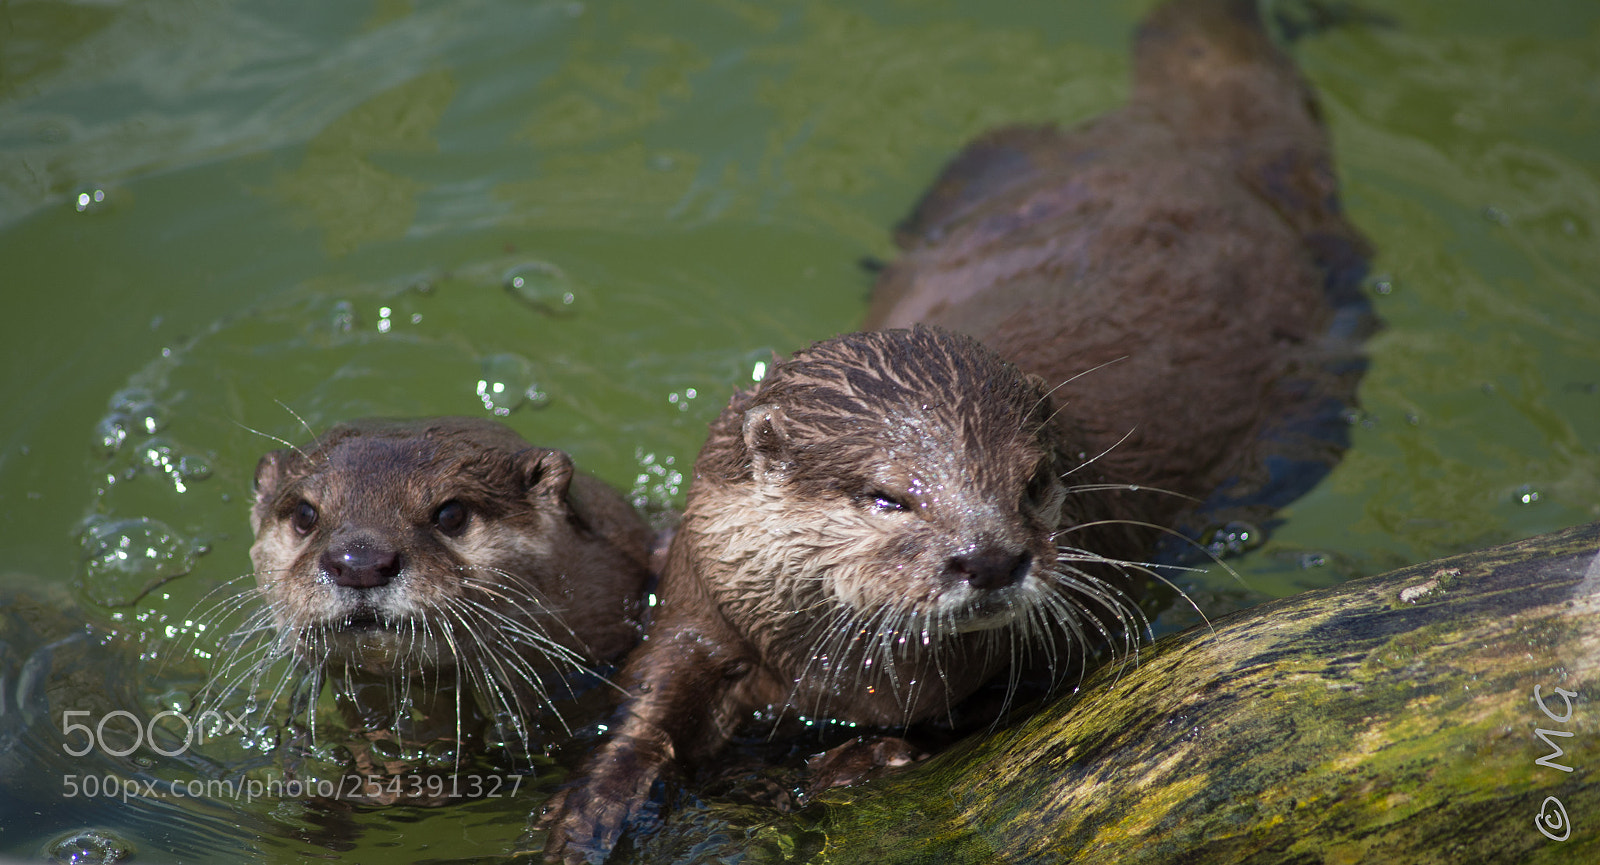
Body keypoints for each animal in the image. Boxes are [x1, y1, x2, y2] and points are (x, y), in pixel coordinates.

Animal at [542, 0, 1371, 859]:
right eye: (887, 497)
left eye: (1032, 483)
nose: (991, 557)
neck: (844, 678)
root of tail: (1176, 135)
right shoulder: (700, 597)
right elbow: (650, 700)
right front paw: (596, 806)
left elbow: (995, 707)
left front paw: (857, 759)